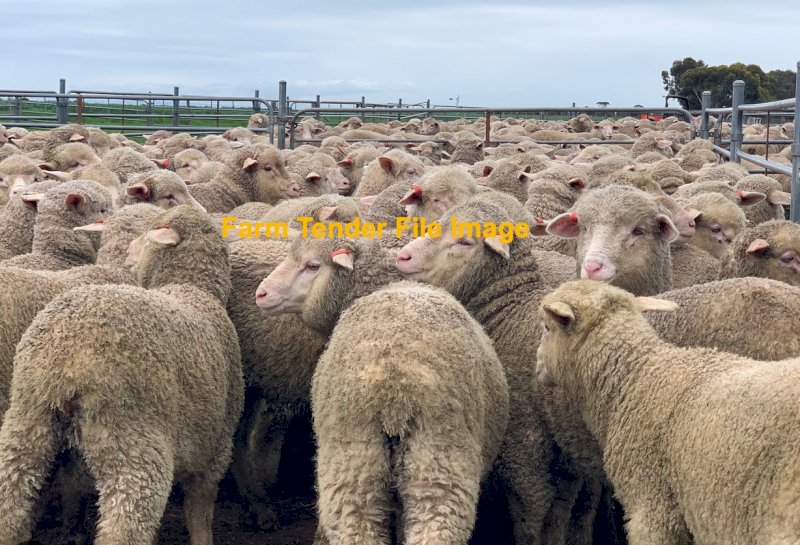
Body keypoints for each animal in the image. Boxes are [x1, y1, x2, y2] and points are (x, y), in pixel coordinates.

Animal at [0, 205, 244, 545]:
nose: (128, 257)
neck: (192, 287)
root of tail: (65, 360)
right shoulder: (216, 451)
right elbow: (200, 515)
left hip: (27, 421)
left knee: (9, 502)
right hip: (129, 441)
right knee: (125, 528)